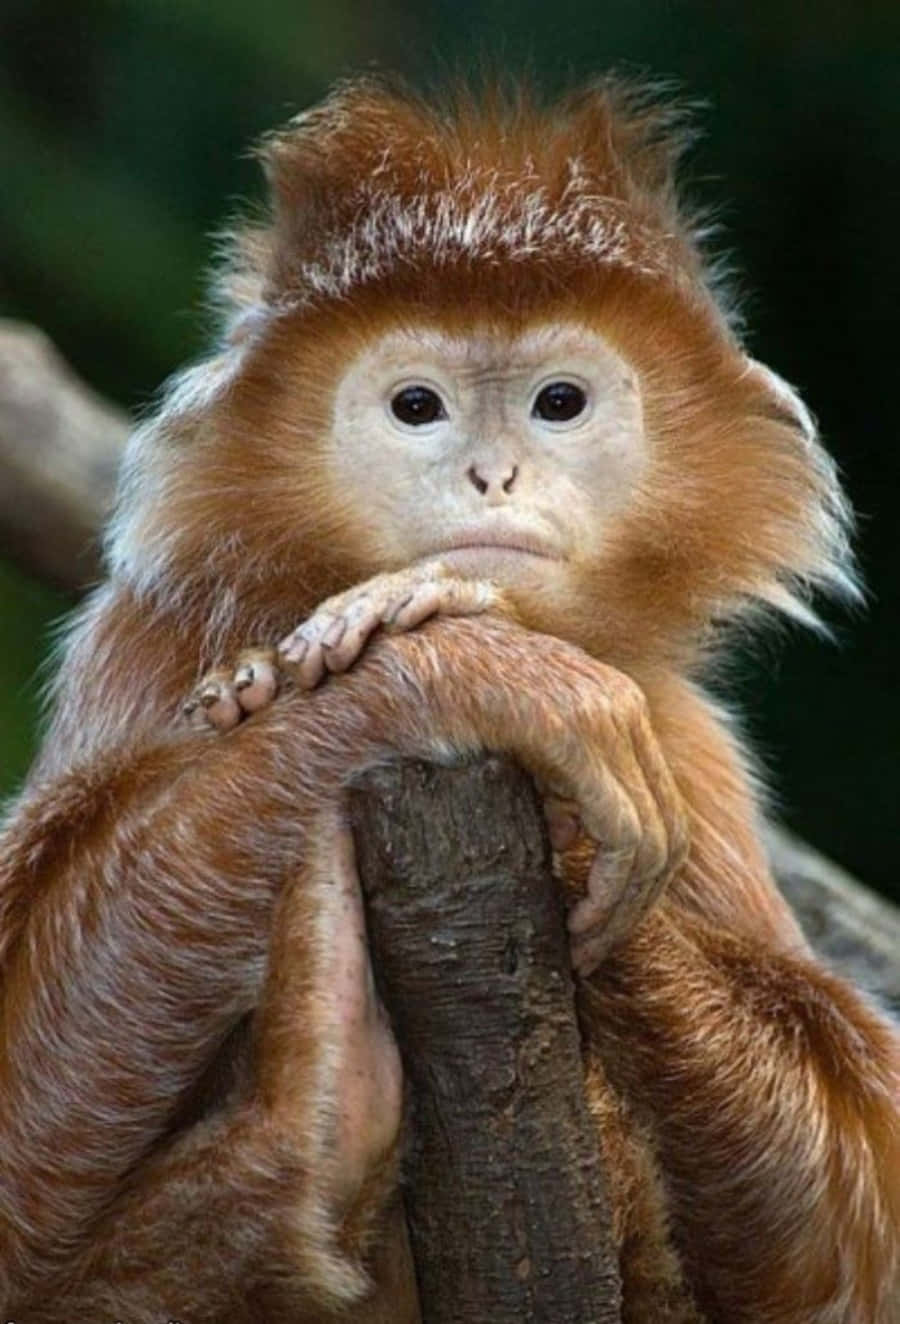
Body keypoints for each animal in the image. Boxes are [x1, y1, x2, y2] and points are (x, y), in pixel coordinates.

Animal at [0, 75, 898, 1324]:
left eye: (558, 401)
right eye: (417, 406)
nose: (492, 476)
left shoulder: (688, 736)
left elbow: (859, 1227)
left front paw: (565, 809)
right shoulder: (146, 647)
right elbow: (20, 1170)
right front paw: (481, 674)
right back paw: (329, 1086)